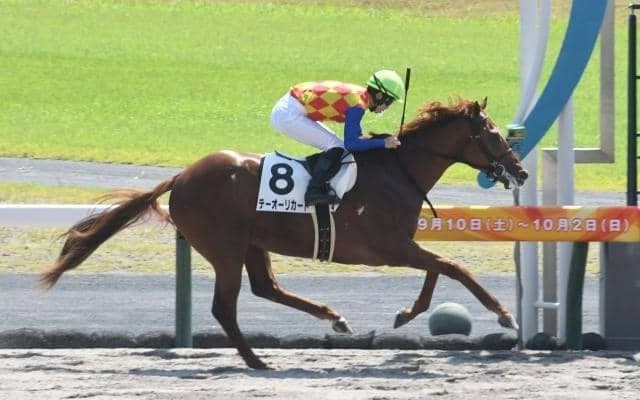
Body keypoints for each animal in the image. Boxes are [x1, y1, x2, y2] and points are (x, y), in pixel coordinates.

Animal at [41, 97, 528, 369]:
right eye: (491, 133)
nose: (520, 171)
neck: (398, 170)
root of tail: (180, 177)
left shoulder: (400, 246)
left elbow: (439, 268)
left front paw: (406, 314)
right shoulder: (387, 247)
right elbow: (453, 266)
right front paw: (505, 314)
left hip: (253, 243)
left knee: (266, 288)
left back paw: (333, 318)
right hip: (224, 247)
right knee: (225, 307)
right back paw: (258, 361)